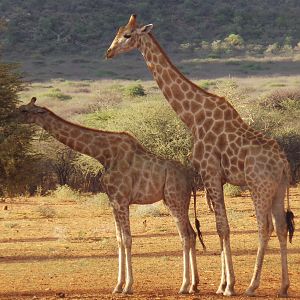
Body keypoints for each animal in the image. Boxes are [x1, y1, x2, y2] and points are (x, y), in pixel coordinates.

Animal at [14, 97, 206, 294]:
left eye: (23, 110)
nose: (10, 118)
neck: (104, 154)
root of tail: (190, 178)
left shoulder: (122, 199)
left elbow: (127, 239)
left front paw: (128, 286)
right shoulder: (113, 200)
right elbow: (119, 239)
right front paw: (118, 285)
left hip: (175, 199)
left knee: (185, 236)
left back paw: (184, 285)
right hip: (176, 201)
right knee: (192, 234)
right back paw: (194, 285)